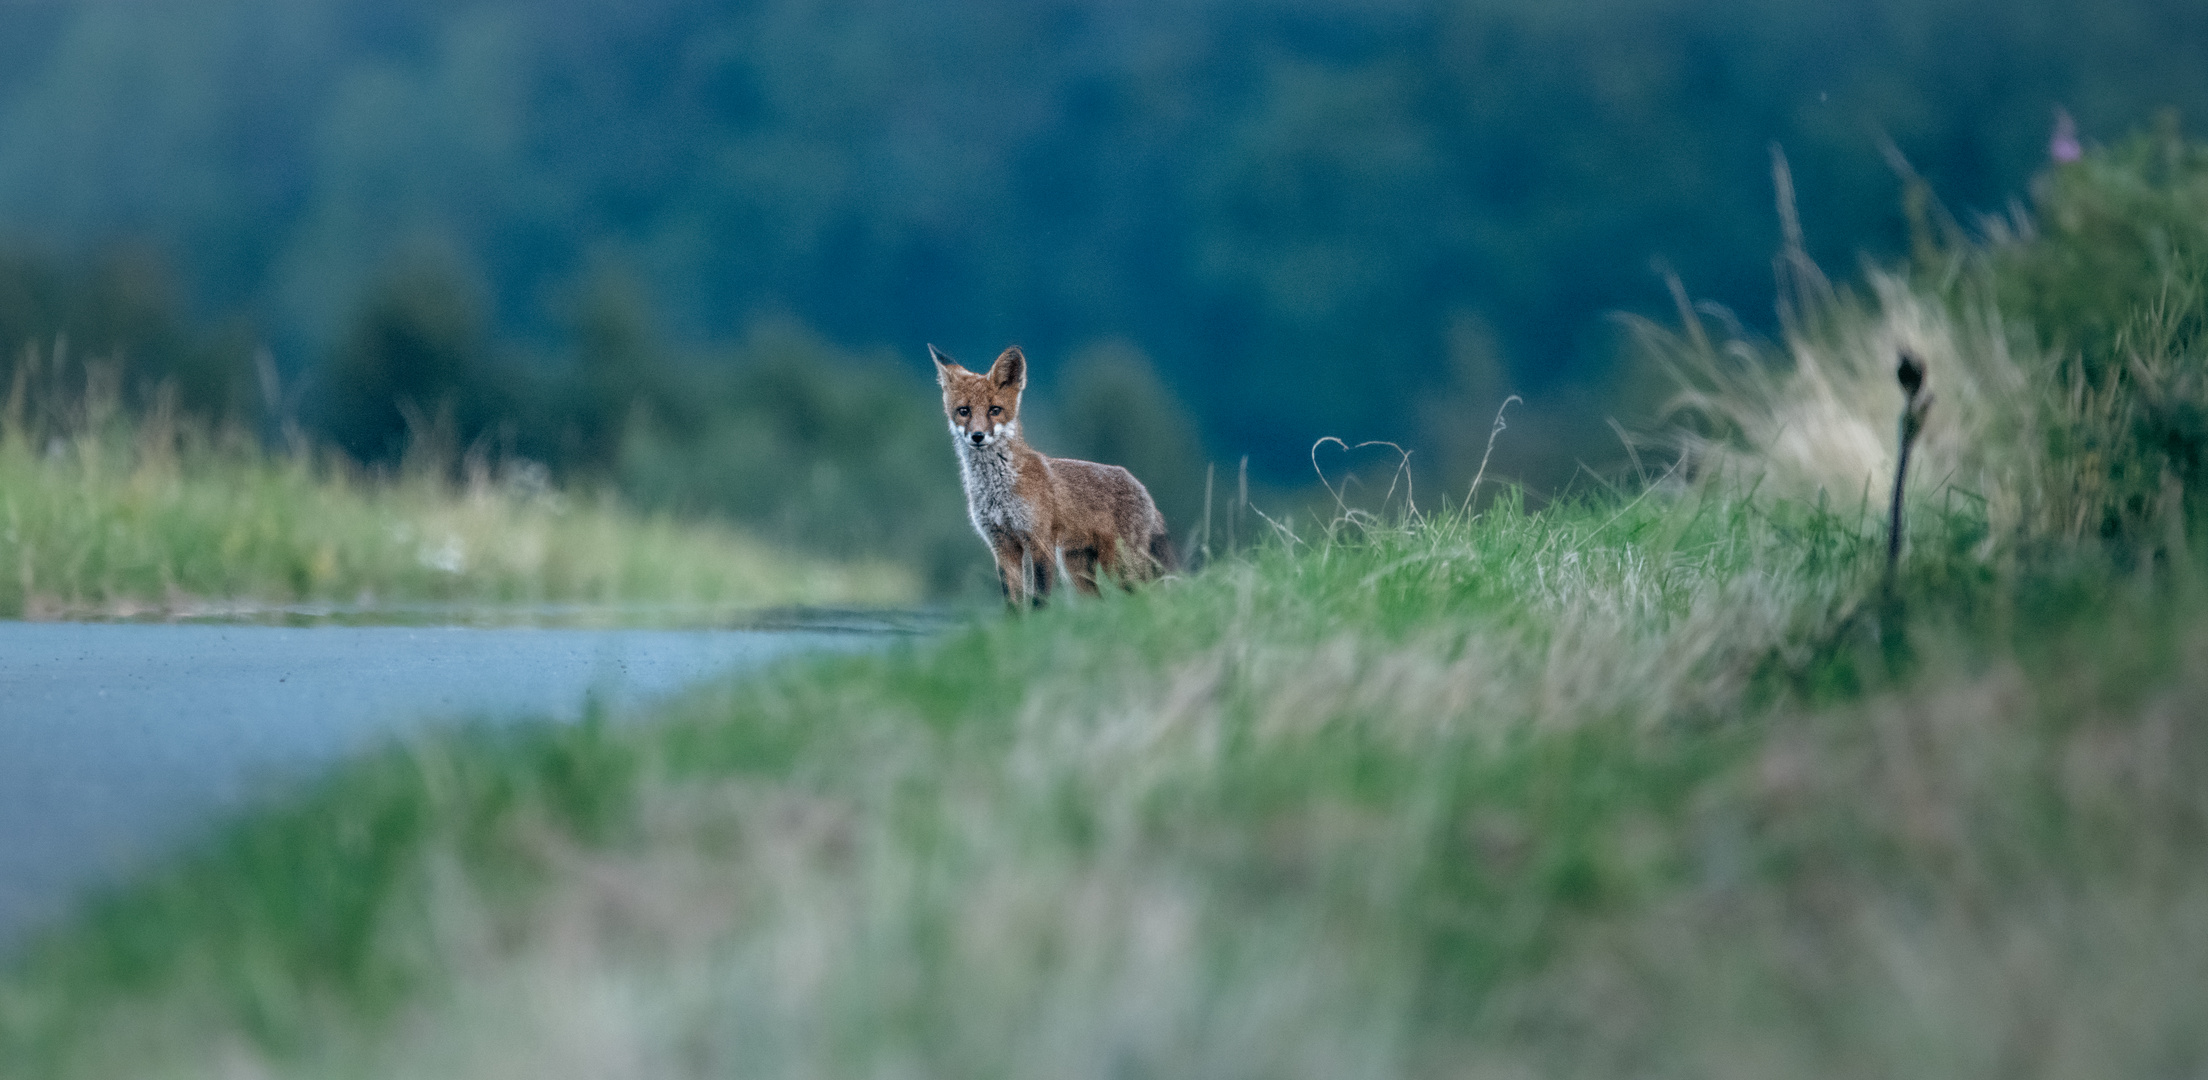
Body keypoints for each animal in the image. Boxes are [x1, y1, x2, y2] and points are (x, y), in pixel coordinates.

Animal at [927, 342, 1174, 600]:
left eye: (994, 410)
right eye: (964, 411)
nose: (977, 436)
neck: (997, 490)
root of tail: (1143, 489)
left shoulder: (1040, 542)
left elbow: (1039, 600)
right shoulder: (1002, 547)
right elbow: (1013, 605)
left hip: (1120, 567)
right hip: (1077, 573)